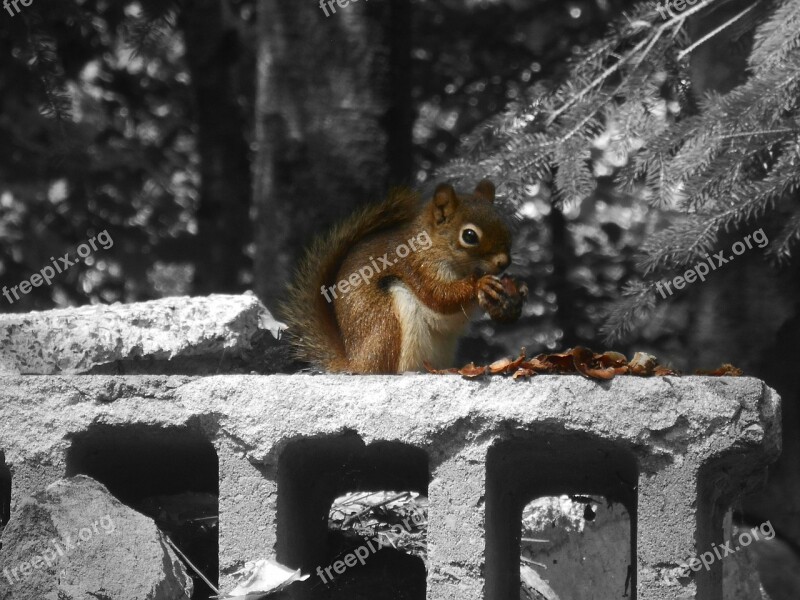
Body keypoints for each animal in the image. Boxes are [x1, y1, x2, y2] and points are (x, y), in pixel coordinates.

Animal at [282, 180, 524, 372]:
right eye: (470, 236)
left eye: (504, 224)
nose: (504, 262)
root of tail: (355, 363)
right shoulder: (417, 267)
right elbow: (440, 296)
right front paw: (480, 285)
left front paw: (517, 292)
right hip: (386, 322)